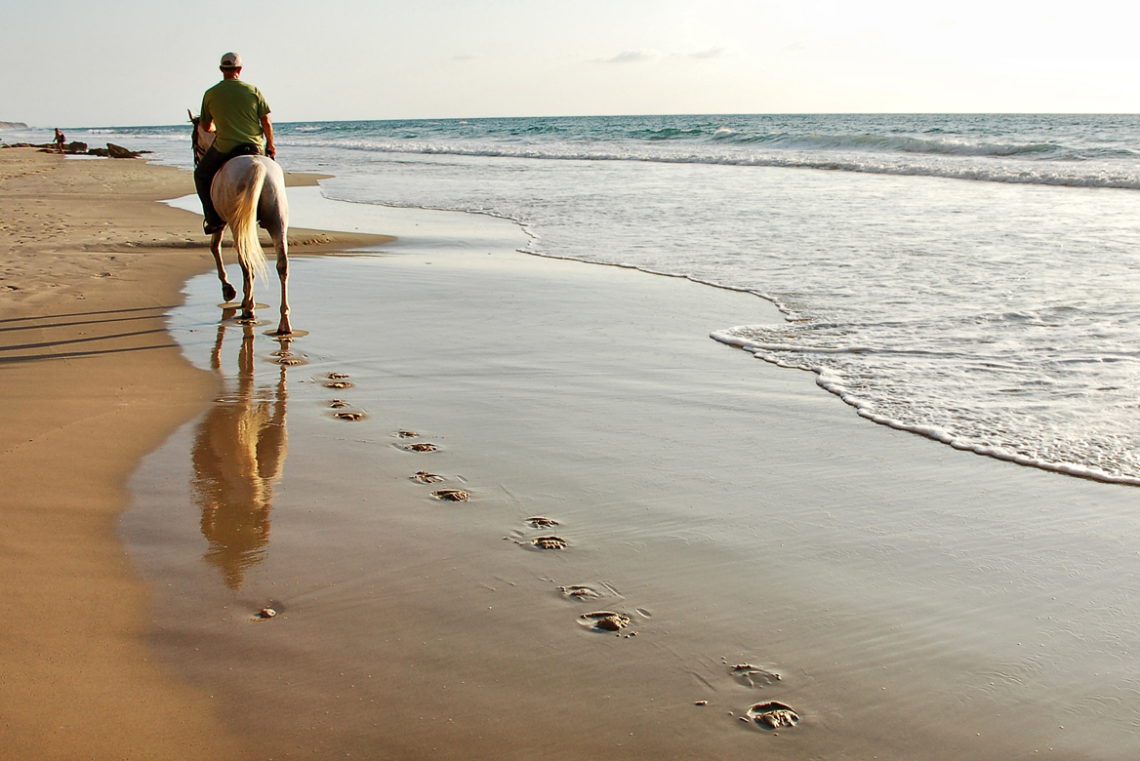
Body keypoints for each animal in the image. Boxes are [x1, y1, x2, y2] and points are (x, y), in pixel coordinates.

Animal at [191, 114, 291, 334]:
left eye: (194, 140)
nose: (196, 159)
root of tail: (257, 166)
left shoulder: (221, 222)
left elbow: (214, 247)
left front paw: (228, 289)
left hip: (238, 225)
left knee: (247, 264)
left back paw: (248, 309)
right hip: (277, 221)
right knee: (282, 265)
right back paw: (283, 323)